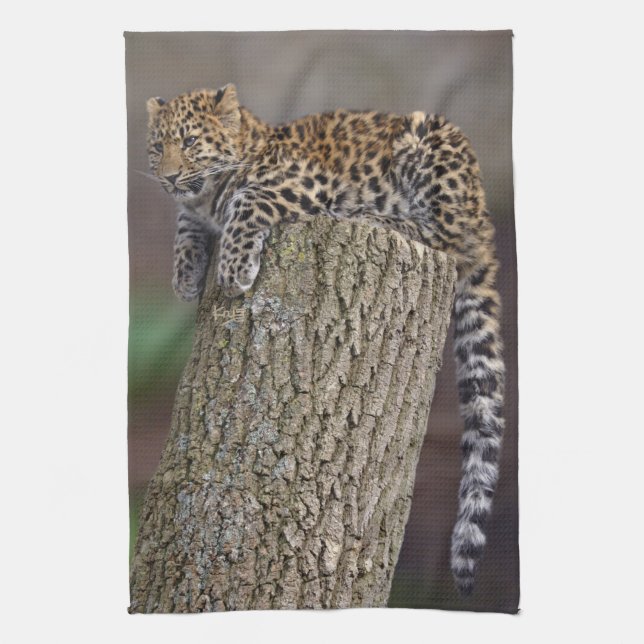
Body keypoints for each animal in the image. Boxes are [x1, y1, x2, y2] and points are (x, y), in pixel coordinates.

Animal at [145, 84, 505, 597]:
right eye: (158, 148)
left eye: (191, 142)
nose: (170, 176)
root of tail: (483, 214)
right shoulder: (194, 208)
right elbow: (185, 223)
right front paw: (186, 276)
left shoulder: (302, 182)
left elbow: (246, 201)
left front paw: (232, 270)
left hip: (428, 144)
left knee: (445, 238)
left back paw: (373, 215)